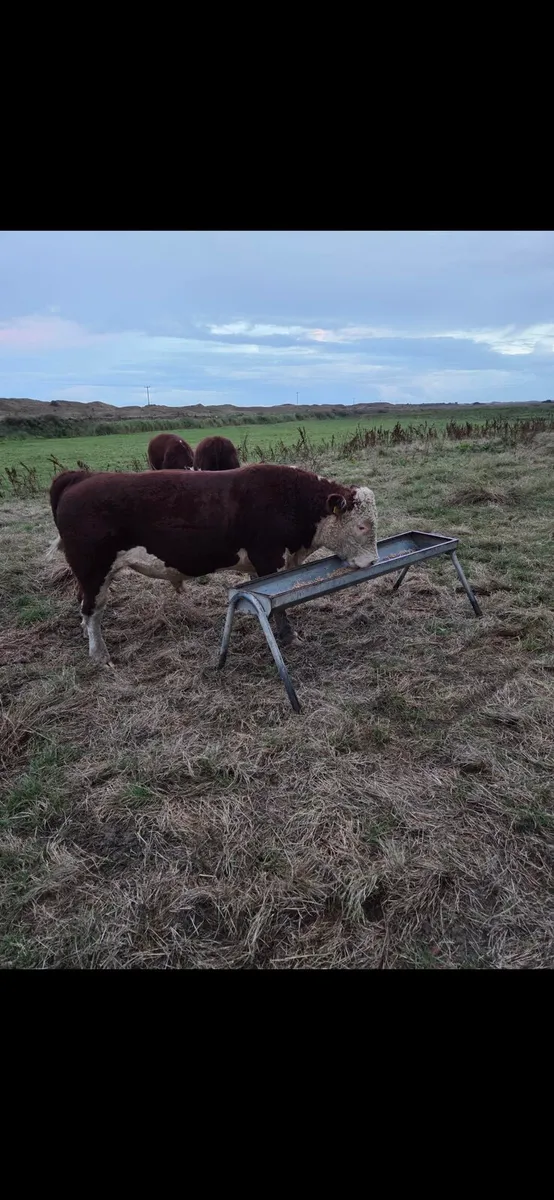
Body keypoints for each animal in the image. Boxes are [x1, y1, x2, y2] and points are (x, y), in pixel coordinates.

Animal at [49, 464, 378, 667]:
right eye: (362, 526)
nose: (374, 561)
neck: (290, 500)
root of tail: (81, 478)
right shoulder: (268, 560)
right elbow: (279, 607)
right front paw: (289, 637)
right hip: (94, 569)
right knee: (92, 609)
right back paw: (99, 654)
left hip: (88, 575)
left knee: (83, 603)